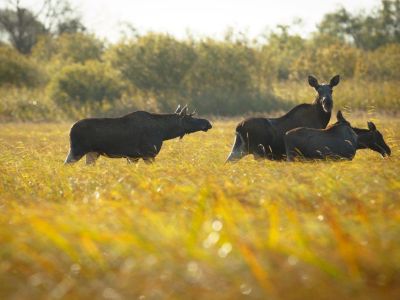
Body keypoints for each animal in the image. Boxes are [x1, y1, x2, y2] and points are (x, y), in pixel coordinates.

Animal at [64, 105, 212, 165]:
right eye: (189, 118)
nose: (207, 123)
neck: (164, 132)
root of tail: (70, 129)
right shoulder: (148, 154)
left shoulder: (133, 157)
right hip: (77, 150)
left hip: (92, 153)